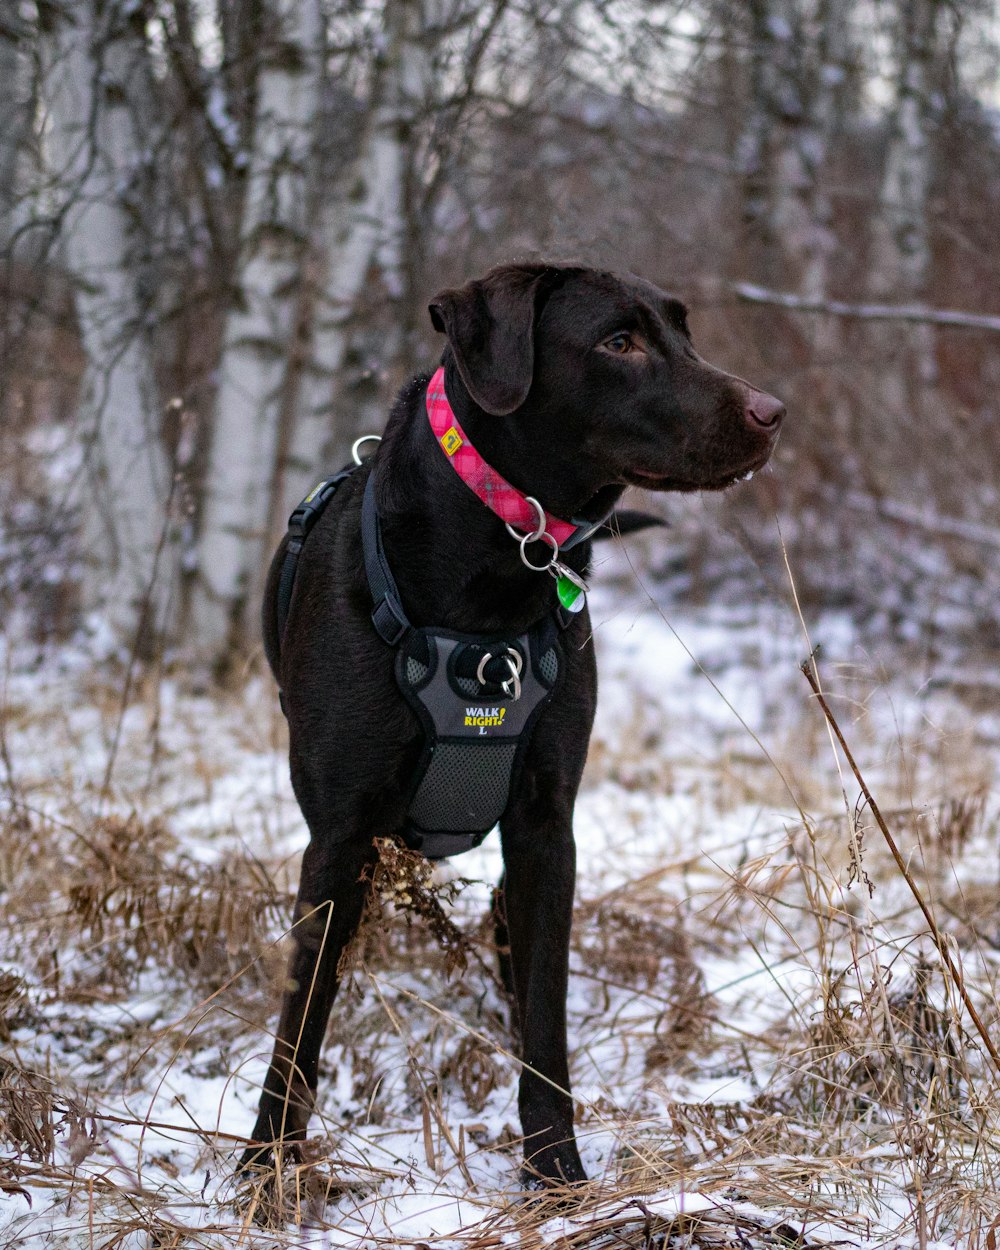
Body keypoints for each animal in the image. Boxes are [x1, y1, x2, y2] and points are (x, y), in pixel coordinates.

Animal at [243, 266, 780, 1190]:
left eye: (684, 332)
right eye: (618, 342)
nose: (772, 411)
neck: (492, 578)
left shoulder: (543, 828)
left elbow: (546, 1012)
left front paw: (556, 1169)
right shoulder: (338, 838)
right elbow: (302, 1016)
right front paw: (264, 1166)